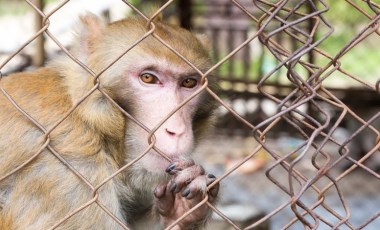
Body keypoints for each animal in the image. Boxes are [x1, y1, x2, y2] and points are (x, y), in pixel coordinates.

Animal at [0, 11, 218, 230]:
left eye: (188, 82)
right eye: (148, 78)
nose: (176, 130)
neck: (91, 120)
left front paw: (180, 211)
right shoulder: (69, 170)